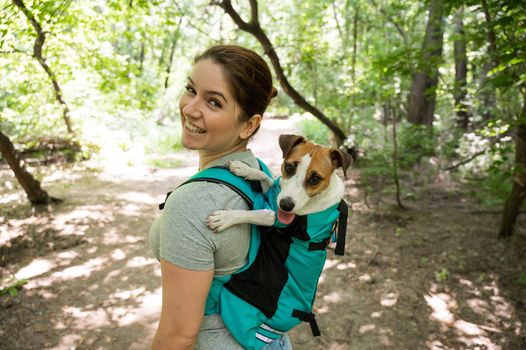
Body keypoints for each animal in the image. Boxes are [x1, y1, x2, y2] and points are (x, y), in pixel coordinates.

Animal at [208, 134, 352, 232]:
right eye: (289, 167)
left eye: (315, 179)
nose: (285, 206)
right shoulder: (273, 192)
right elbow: (265, 176)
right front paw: (243, 168)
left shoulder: (273, 218)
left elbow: (255, 213)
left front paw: (225, 218)